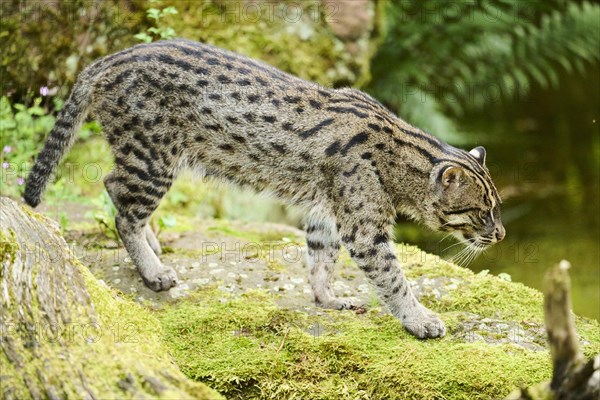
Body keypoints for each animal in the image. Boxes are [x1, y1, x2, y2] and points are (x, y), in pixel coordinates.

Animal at [23, 39, 504, 340]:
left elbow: (320, 258)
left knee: (117, 191)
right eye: (482, 211)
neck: (399, 158)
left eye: (497, 207)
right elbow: (393, 279)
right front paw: (419, 320)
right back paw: (152, 269)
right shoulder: (364, 227)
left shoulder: (326, 211)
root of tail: (110, 59)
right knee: (122, 203)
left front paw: (327, 299)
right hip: (153, 158)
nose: (500, 234)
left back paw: (153, 244)